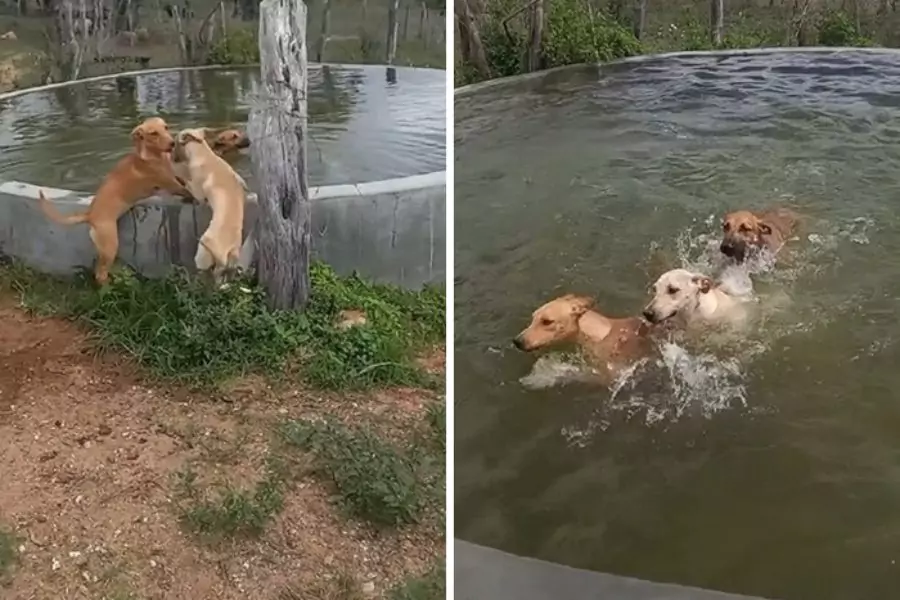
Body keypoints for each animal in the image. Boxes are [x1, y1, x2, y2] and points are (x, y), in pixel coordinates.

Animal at [37, 118, 192, 288]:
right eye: (153, 133)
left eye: (166, 127)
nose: (172, 143)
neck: (149, 156)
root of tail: (89, 214)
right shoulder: (171, 184)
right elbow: (186, 189)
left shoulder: (175, 178)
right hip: (110, 246)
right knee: (100, 274)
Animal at [175, 127, 248, 286]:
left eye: (176, 141)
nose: (172, 157)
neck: (205, 154)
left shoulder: (196, 191)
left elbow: (187, 183)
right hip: (231, 261)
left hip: (201, 255)